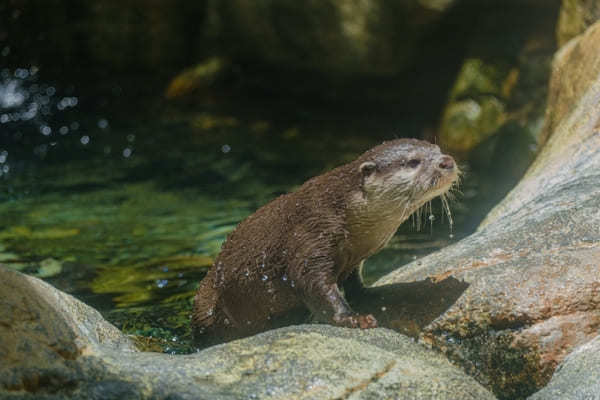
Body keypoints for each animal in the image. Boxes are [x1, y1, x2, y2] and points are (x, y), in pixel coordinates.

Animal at [195, 138, 458, 344]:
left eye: (437, 148)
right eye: (413, 162)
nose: (447, 161)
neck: (342, 211)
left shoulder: (353, 257)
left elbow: (354, 284)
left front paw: (376, 294)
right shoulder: (311, 236)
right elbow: (312, 284)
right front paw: (354, 319)